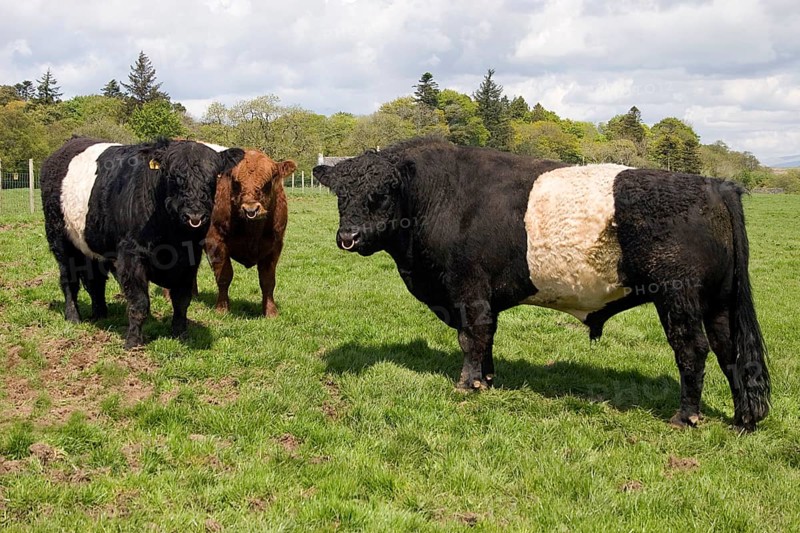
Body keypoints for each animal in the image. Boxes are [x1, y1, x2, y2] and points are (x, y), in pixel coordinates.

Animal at [40, 136, 244, 348]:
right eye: (171, 176)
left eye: (213, 177)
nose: (194, 215)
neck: (172, 237)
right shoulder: (132, 255)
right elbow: (139, 302)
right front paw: (133, 341)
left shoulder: (190, 258)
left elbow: (181, 299)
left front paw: (180, 333)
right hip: (59, 238)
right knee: (69, 279)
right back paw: (73, 317)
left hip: (92, 245)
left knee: (95, 280)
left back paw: (100, 314)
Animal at [199, 144, 296, 316]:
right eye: (236, 182)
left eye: (268, 181)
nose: (251, 209)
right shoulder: (215, 240)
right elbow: (224, 276)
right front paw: (222, 309)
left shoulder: (275, 245)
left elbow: (268, 280)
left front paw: (271, 312)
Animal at [313, 137, 771, 430]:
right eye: (340, 194)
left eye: (383, 193)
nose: (348, 236)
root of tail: (714, 184)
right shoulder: (483, 296)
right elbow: (487, 337)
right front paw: (486, 380)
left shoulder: (467, 289)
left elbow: (471, 337)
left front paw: (466, 384)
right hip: (719, 302)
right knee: (730, 350)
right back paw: (741, 419)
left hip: (679, 296)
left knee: (692, 350)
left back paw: (685, 417)